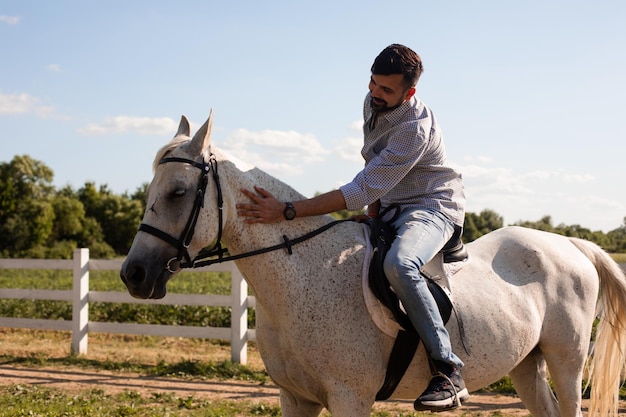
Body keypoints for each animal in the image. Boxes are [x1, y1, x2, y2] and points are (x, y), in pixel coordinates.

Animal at [120, 111, 624, 416]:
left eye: (178, 192)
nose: (133, 274)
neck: (300, 273)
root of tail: (571, 245)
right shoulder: (295, 398)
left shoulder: (350, 398)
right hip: (526, 365)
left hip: (566, 362)